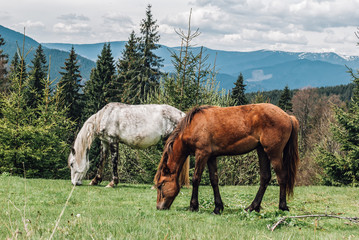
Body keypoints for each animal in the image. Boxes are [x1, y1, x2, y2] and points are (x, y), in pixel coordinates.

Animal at [156, 103, 300, 214]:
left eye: (161, 185)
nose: (159, 207)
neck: (193, 125)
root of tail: (288, 116)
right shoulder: (211, 157)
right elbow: (214, 180)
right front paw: (218, 208)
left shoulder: (202, 154)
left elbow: (196, 179)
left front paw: (193, 206)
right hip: (262, 151)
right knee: (265, 177)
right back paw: (252, 207)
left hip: (274, 153)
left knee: (282, 177)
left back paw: (282, 207)